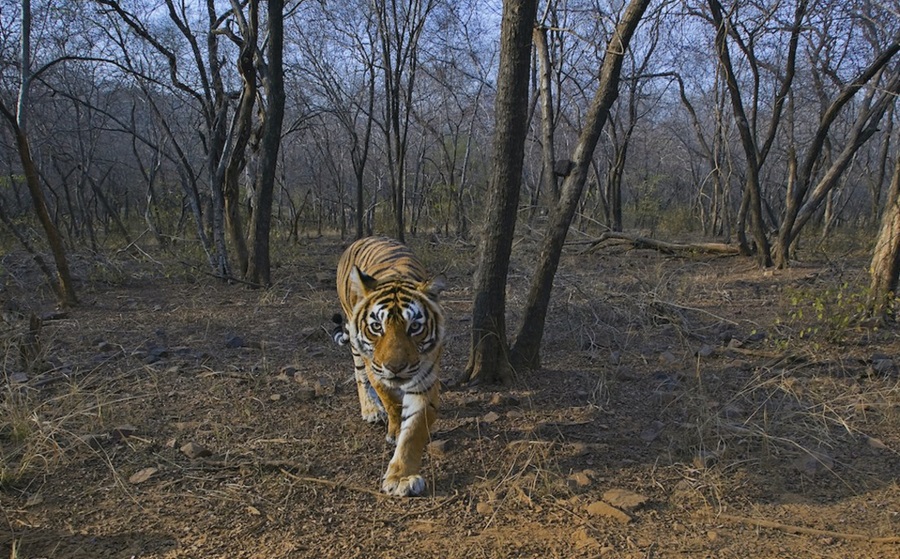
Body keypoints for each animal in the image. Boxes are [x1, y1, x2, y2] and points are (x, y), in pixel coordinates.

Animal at [335, 236, 446, 497]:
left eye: (414, 327)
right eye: (377, 326)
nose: (395, 367)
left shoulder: (425, 381)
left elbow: (414, 430)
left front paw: (401, 477)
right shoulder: (376, 369)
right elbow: (391, 401)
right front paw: (394, 431)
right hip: (355, 341)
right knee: (359, 376)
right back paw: (371, 410)